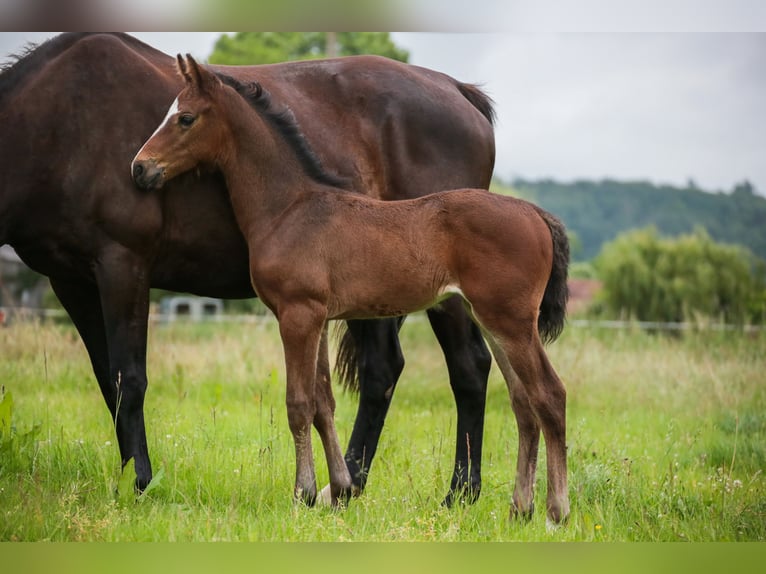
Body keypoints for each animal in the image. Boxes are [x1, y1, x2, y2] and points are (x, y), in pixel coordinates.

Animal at [0, 35, 498, 504]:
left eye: (184, 119)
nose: (140, 170)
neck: (58, 120)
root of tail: (458, 90)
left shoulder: (123, 263)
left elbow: (132, 378)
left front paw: (141, 483)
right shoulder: (72, 281)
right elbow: (111, 383)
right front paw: (126, 479)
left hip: (443, 296)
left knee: (468, 365)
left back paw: (458, 493)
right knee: (382, 370)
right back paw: (349, 487)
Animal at [132, 55, 568, 528]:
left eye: (185, 118)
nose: (140, 168)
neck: (290, 207)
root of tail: (536, 213)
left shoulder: (297, 314)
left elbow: (298, 402)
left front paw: (303, 493)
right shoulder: (319, 317)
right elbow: (323, 402)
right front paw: (337, 488)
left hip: (511, 322)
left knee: (549, 395)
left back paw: (554, 511)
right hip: (491, 319)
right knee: (523, 402)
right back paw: (519, 508)